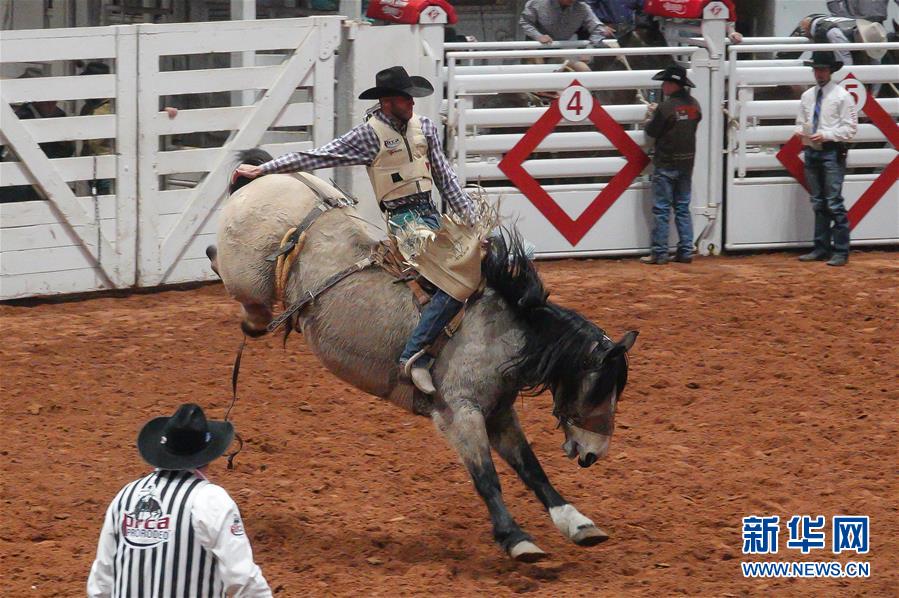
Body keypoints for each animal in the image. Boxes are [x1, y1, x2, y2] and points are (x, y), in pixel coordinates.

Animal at [207, 154, 636, 564]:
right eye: (598, 390)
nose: (594, 454)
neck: (502, 331)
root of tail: (267, 178)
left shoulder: (499, 413)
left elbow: (531, 467)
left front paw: (577, 522)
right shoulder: (459, 414)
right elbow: (487, 478)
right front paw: (516, 539)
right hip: (247, 276)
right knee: (244, 293)